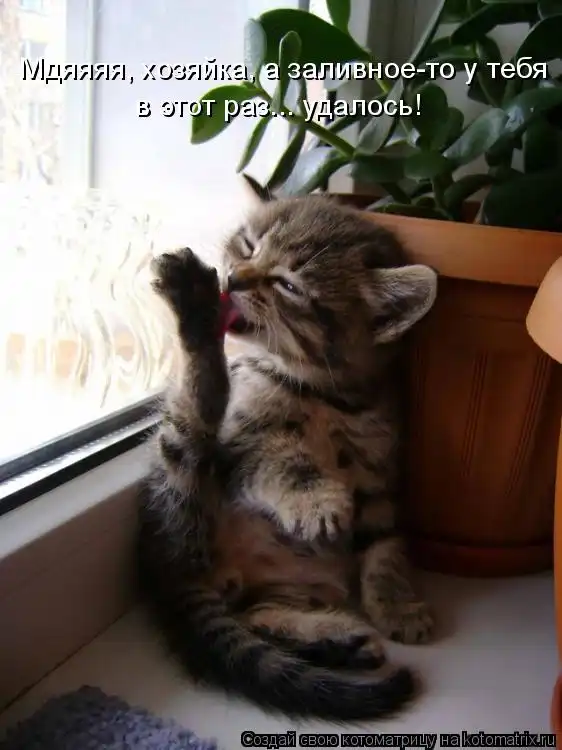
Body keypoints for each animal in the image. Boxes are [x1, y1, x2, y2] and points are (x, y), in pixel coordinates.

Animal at [137, 179, 438, 722]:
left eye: (288, 285)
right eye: (248, 245)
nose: (233, 279)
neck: (321, 393)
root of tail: (167, 571)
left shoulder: (380, 477)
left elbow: (386, 544)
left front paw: (396, 601)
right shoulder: (239, 451)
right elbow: (280, 462)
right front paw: (315, 499)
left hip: (281, 586)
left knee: (256, 615)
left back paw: (337, 641)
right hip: (185, 479)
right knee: (198, 412)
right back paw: (193, 307)